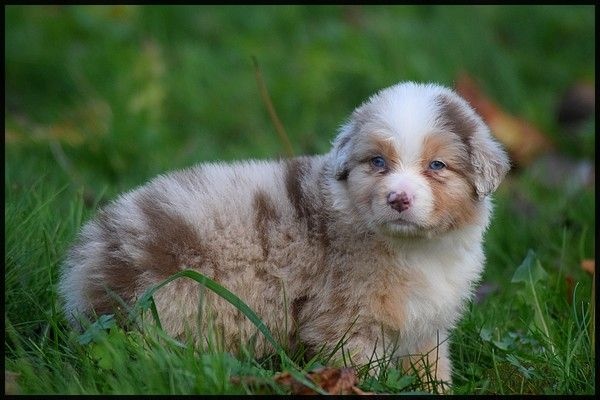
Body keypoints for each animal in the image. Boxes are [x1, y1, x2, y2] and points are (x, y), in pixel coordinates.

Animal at [60, 81, 509, 388]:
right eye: (378, 162)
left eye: (437, 165)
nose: (398, 198)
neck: (413, 248)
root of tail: (93, 268)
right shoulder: (346, 319)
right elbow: (362, 366)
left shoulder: (426, 325)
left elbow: (432, 366)